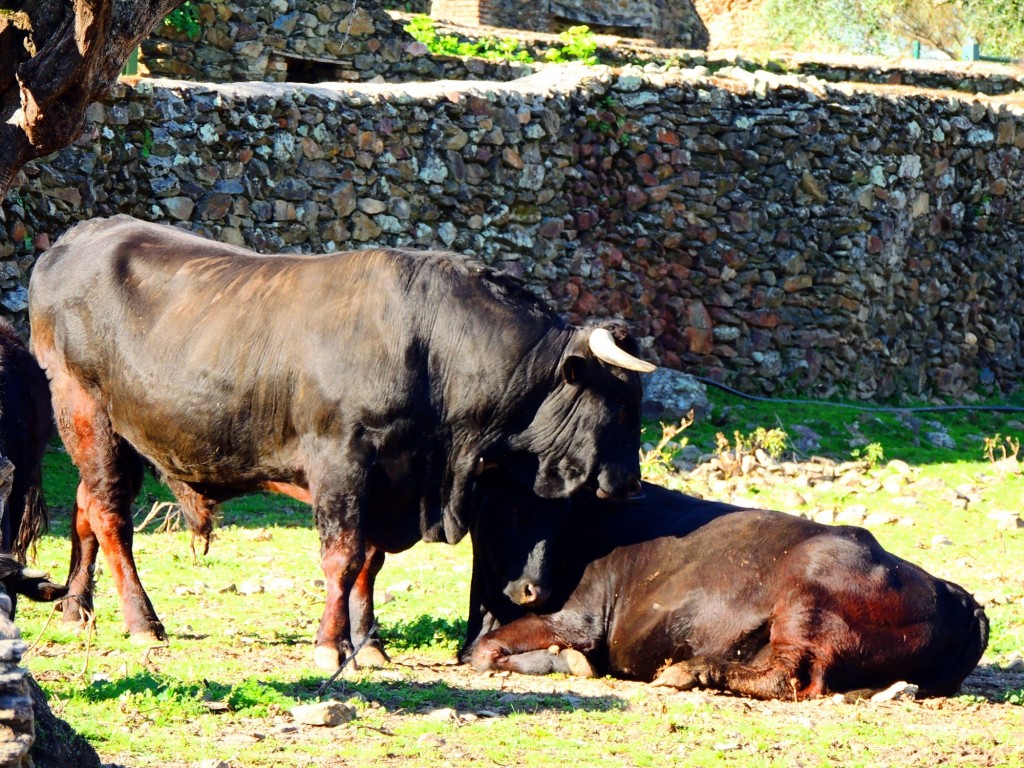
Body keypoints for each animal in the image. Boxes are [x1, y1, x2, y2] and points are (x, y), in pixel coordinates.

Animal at [29, 215, 655, 667]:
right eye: (622, 401)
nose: (630, 482)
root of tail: (80, 236)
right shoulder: (343, 460)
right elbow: (343, 555)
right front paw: (331, 645)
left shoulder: (392, 480)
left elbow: (369, 563)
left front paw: (369, 643)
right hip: (85, 412)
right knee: (110, 515)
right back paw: (143, 623)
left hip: (120, 435)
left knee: (86, 506)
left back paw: (76, 609)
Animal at [468, 483, 987, 700]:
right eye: (506, 506)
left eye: (543, 509)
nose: (532, 588)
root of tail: (956, 594)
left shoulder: (578, 618)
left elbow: (485, 651)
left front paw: (569, 663)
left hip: (804, 599)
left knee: (790, 678)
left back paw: (688, 672)